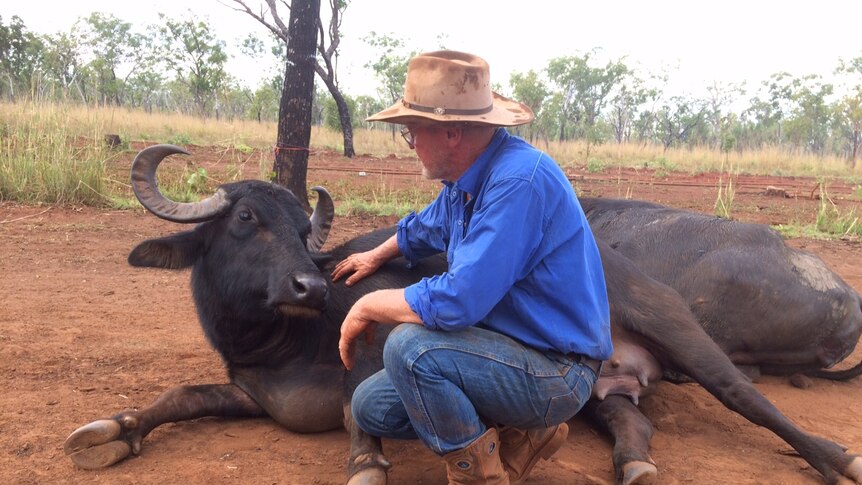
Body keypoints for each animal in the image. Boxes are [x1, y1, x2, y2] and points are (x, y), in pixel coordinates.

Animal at [62, 147, 862, 484]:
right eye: (247, 220)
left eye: (299, 227)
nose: (309, 284)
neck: (281, 336)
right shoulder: (249, 392)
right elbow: (179, 396)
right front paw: (114, 432)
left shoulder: (367, 350)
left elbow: (356, 403)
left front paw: (366, 462)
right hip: (604, 392)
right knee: (633, 426)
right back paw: (633, 467)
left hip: (687, 336)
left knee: (750, 398)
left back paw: (835, 458)